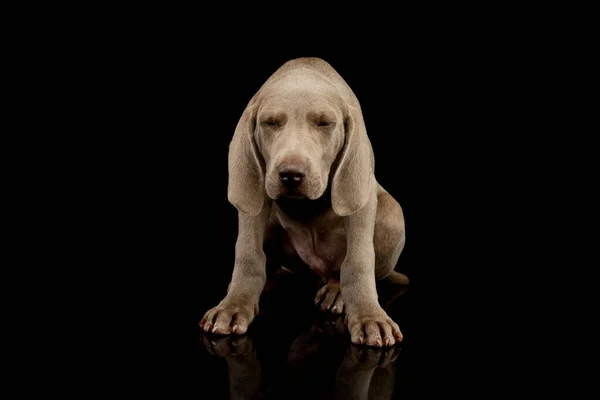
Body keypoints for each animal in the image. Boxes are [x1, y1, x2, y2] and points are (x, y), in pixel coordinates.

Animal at [200, 57, 408, 346]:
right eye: (270, 123)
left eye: (324, 123)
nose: (291, 174)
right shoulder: (256, 195)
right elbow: (248, 253)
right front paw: (233, 306)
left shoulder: (360, 199)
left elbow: (358, 260)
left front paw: (369, 317)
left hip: (393, 215)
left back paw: (335, 290)